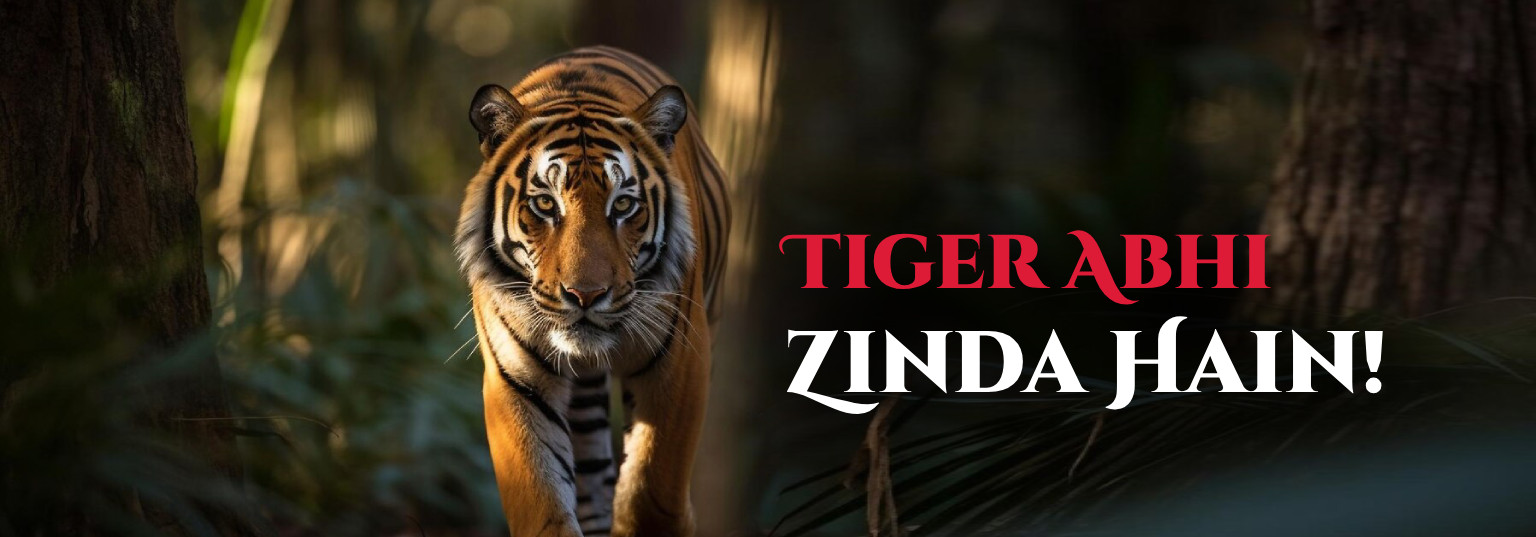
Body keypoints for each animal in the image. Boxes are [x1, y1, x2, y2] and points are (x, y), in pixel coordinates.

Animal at [454, 46, 728, 537]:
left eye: (624, 205)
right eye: (545, 203)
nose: (585, 296)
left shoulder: (681, 363)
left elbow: (650, 490)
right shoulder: (515, 381)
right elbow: (544, 506)